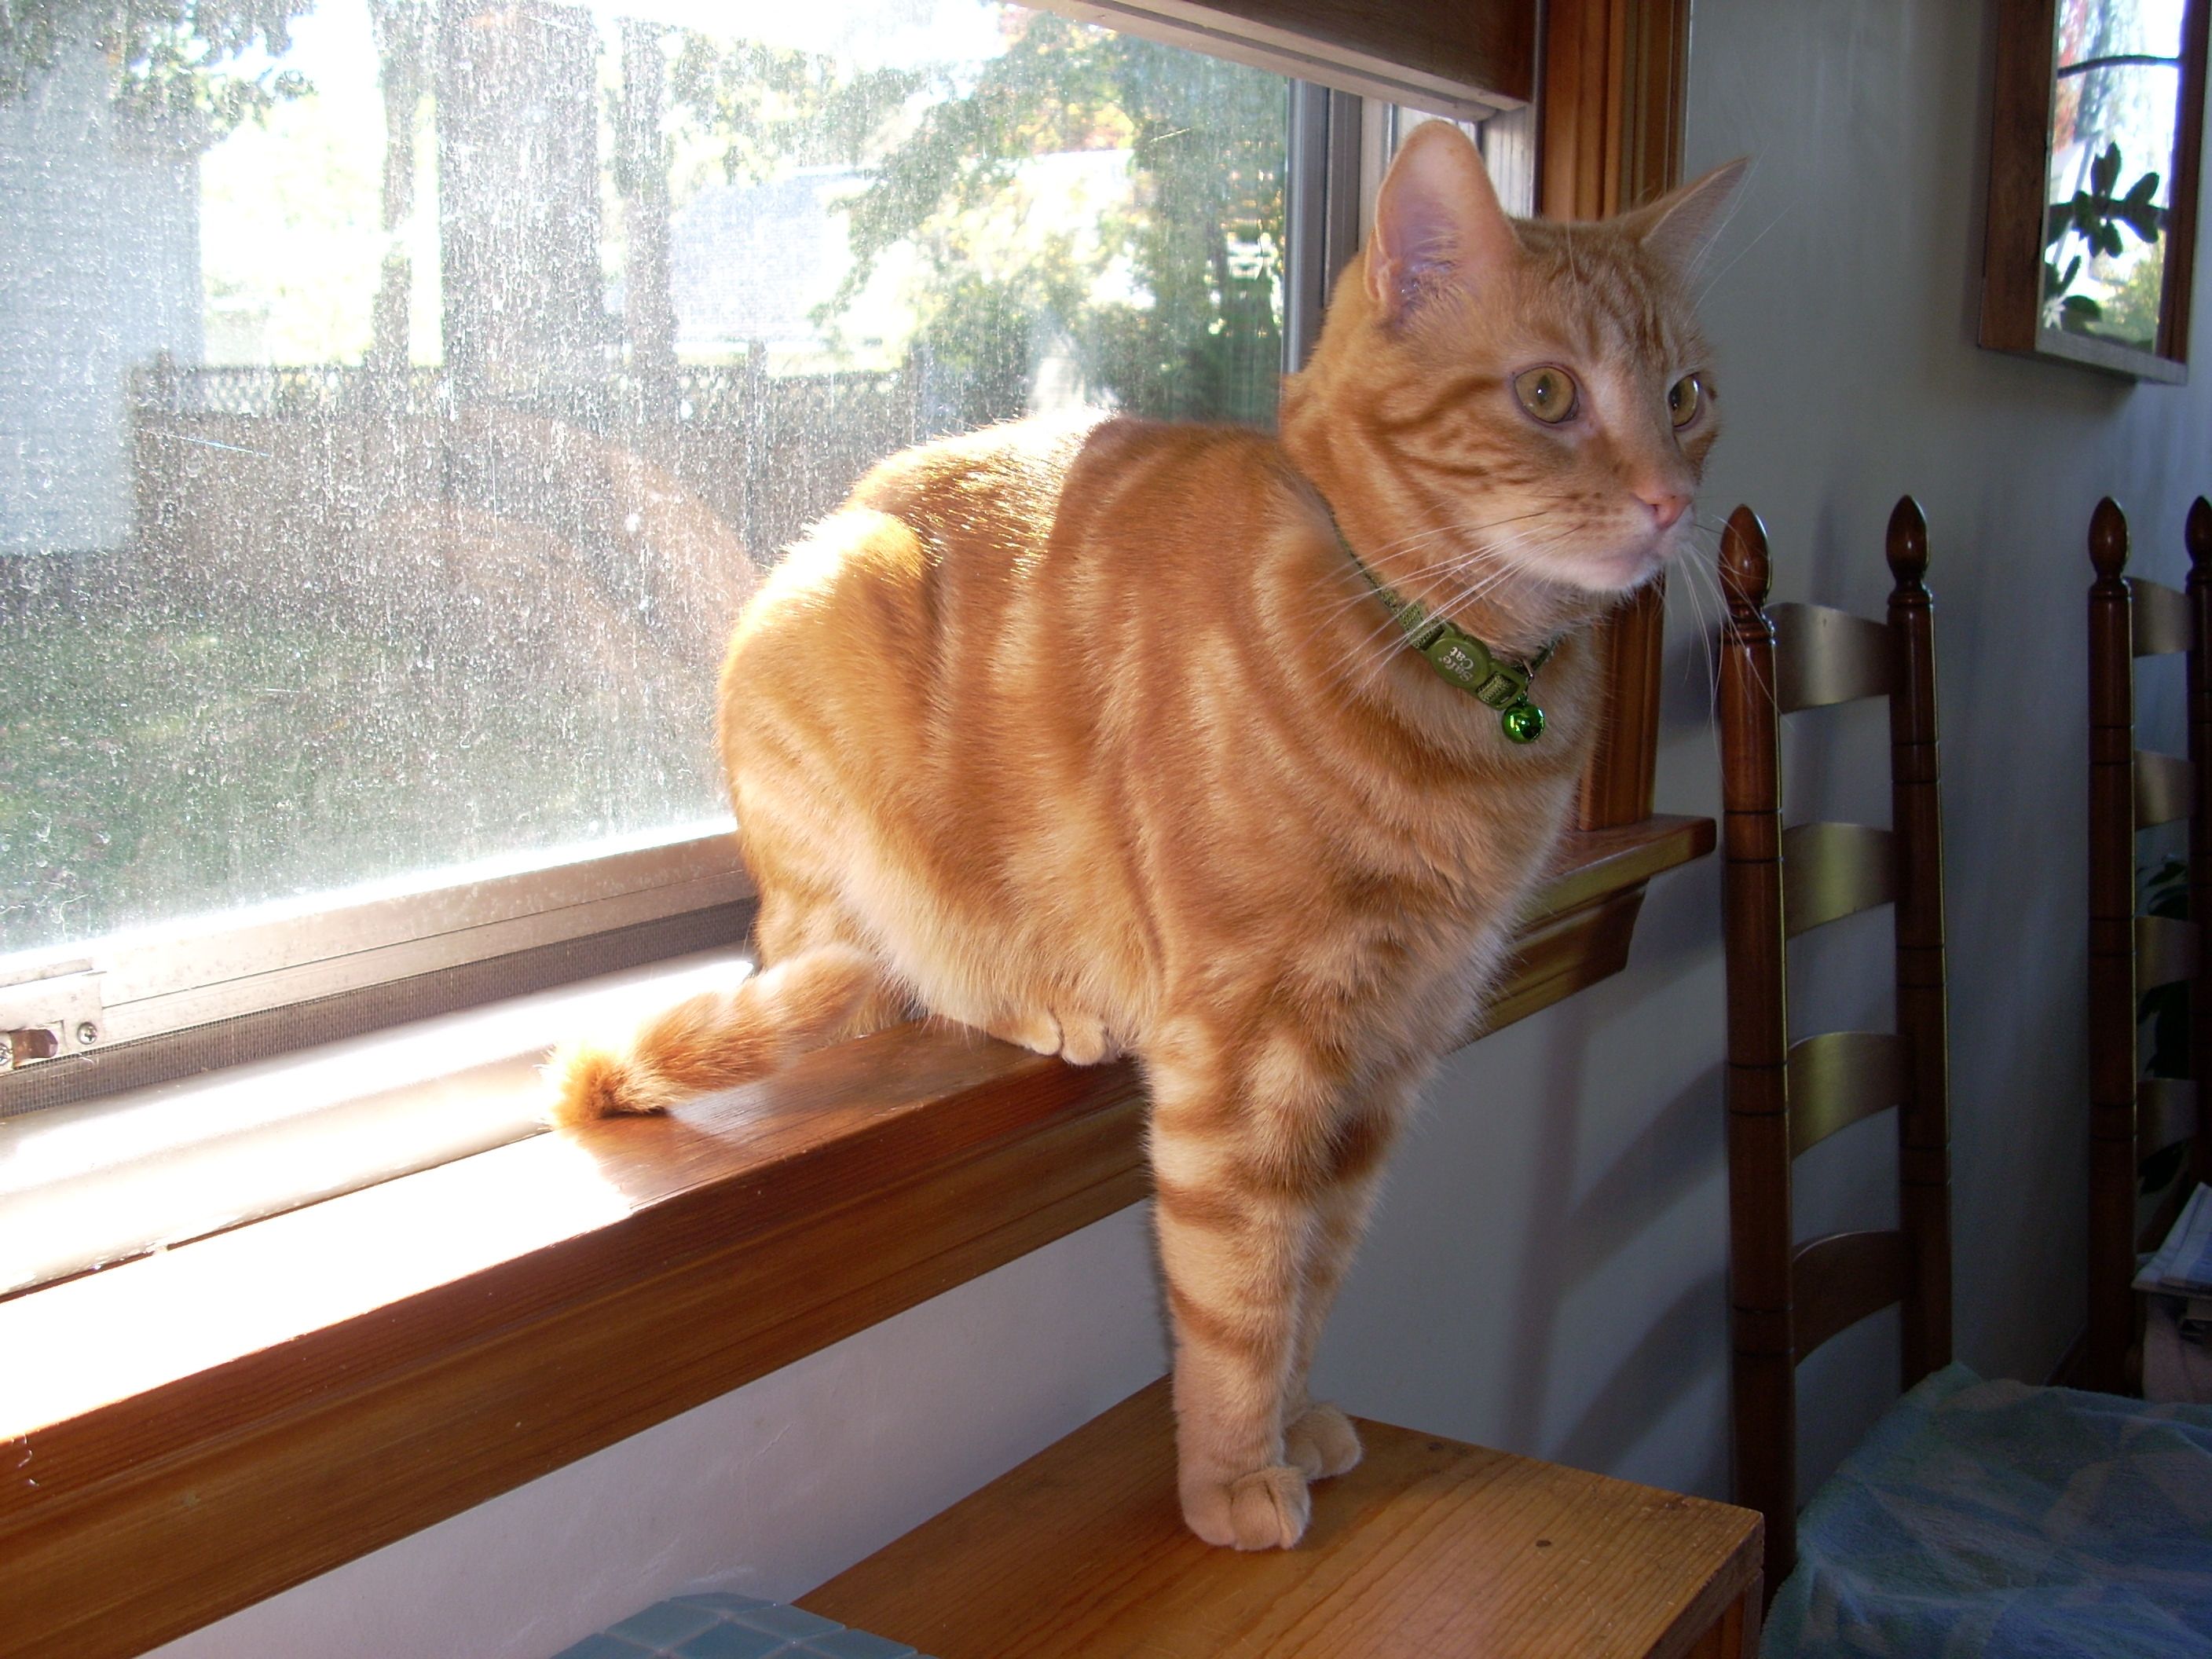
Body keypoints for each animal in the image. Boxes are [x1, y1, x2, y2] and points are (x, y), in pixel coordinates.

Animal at [546, 120, 1742, 1550]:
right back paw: (1033, 992)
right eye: (1551, 395)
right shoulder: (1250, 1056)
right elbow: (1239, 1292)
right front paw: (1231, 1475)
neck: (1442, 672)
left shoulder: (1391, 1054)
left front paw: (1294, 1417)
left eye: (1685, 397)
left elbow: (1316, 1272)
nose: (1670, 502)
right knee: (887, 968)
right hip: (837, 662)